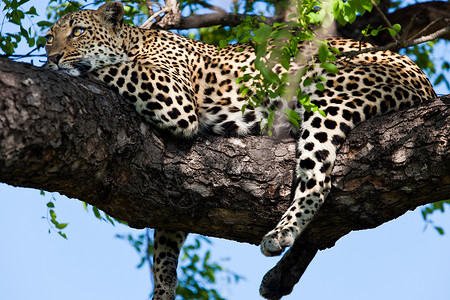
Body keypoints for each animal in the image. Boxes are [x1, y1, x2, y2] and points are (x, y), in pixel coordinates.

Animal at [45, 1, 436, 298]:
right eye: (49, 37)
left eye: (78, 31)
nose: (52, 56)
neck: (133, 41)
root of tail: (426, 83)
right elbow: (165, 243)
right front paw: (163, 289)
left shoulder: (174, 98)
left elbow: (113, 69)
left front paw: (65, 68)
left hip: (332, 96)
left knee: (318, 180)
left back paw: (280, 235)